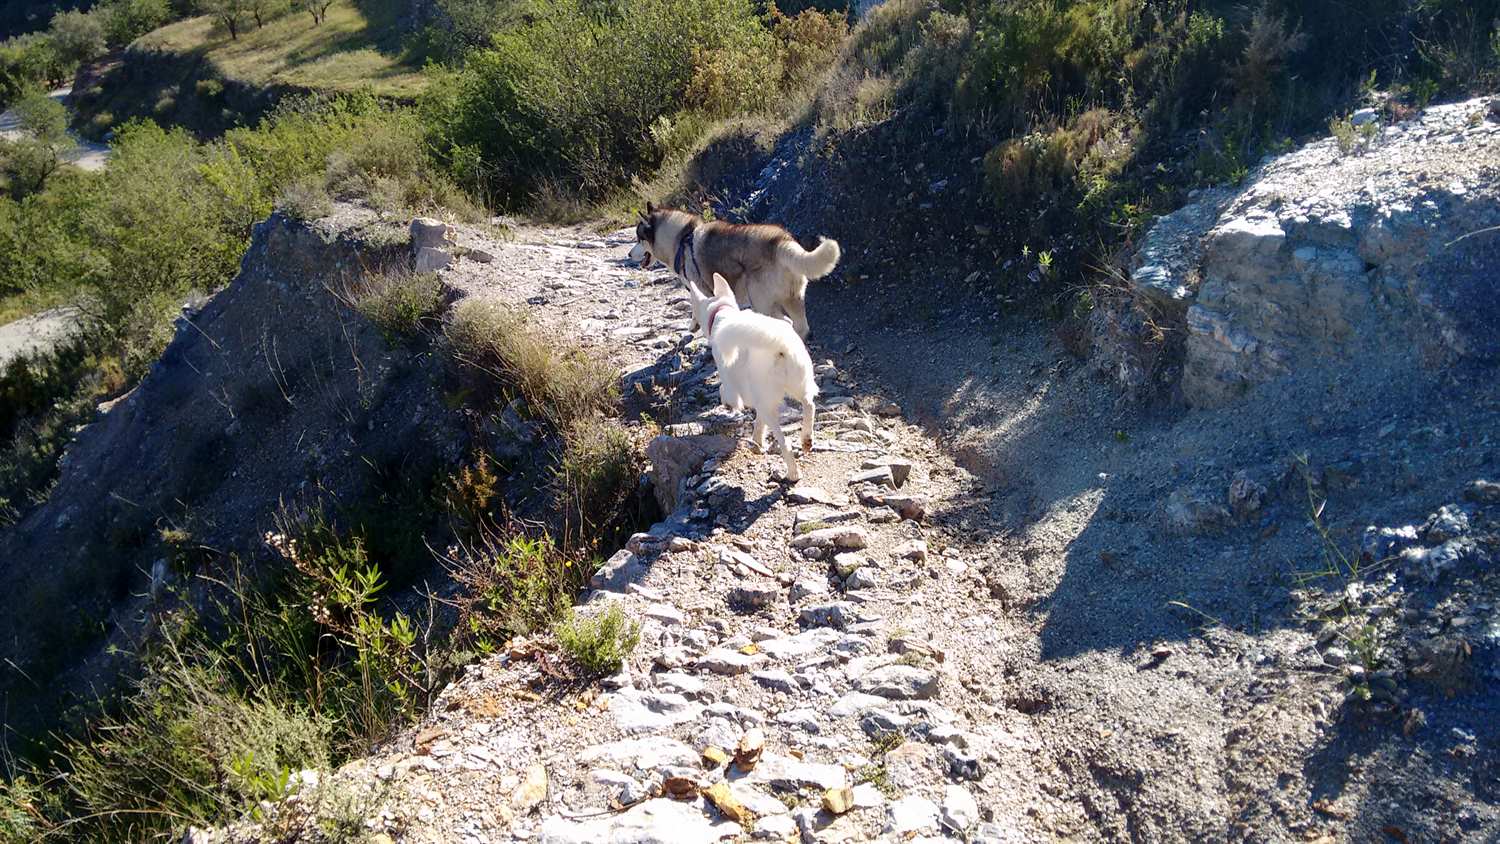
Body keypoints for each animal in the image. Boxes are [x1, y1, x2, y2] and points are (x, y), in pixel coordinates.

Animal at [687, 272, 816, 482]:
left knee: (785, 442)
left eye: (692, 310)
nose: (691, 327)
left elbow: (724, 390)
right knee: (809, 405)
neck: (722, 312)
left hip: (769, 403)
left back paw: (793, 473)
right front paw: (757, 441)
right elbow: (759, 424)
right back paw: (806, 439)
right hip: (799, 385)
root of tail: (780, 346)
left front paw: (727, 405)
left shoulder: (733, 382)